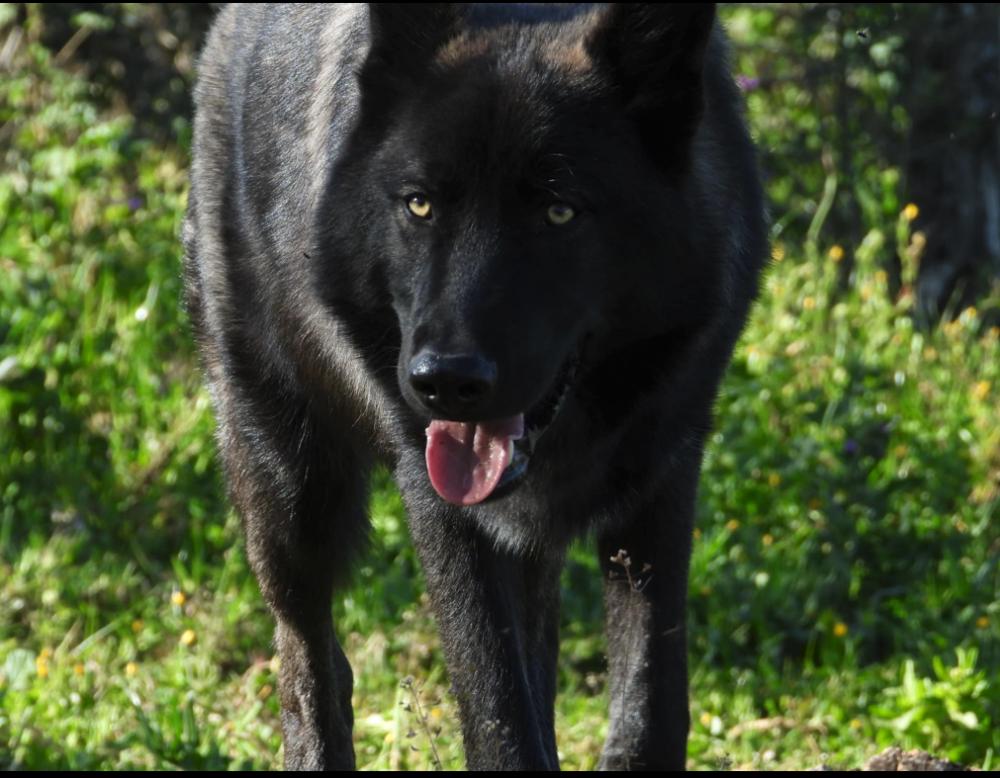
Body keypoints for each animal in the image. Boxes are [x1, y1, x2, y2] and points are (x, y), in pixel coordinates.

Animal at [186, 1, 764, 764]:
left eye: (558, 211)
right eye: (420, 205)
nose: (445, 381)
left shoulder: (664, 466)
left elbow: (649, 702)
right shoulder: (441, 503)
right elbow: (498, 714)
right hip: (290, 489)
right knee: (310, 664)